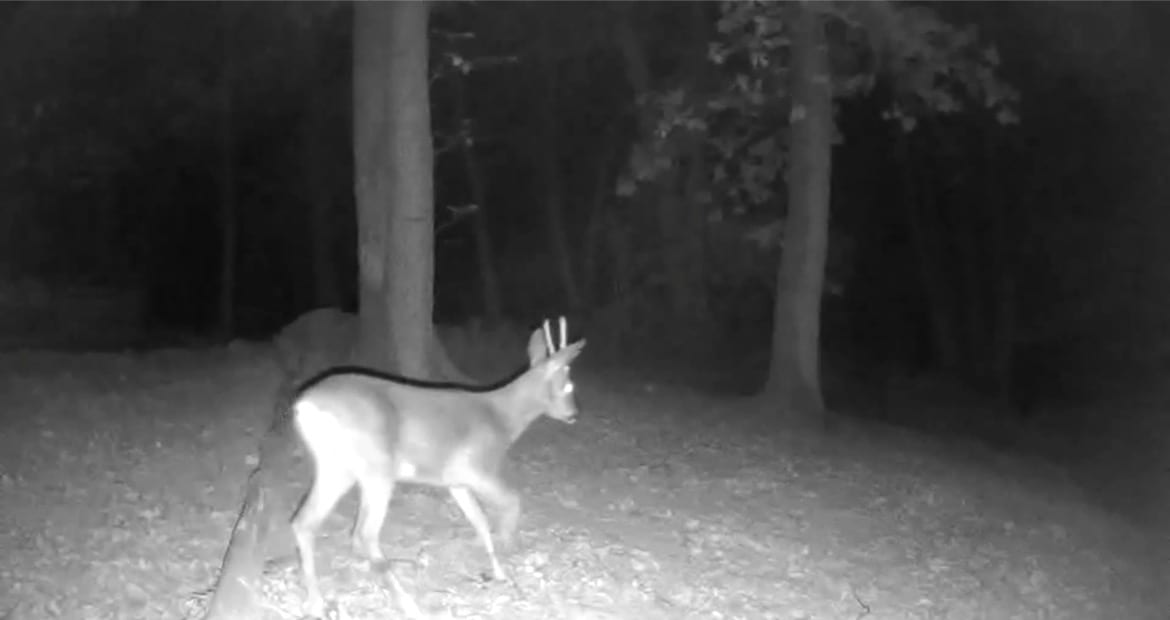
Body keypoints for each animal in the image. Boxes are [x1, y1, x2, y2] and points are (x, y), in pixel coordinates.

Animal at [289, 317, 585, 618]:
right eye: (569, 386)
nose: (573, 415)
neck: (502, 419)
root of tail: (305, 405)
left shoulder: (456, 482)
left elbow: (480, 522)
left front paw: (499, 572)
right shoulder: (477, 468)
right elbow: (512, 503)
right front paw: (509, 560)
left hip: (336, 468)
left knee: (304, 522)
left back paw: (317, 602)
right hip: (377, 468)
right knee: (364, 534)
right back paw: (407, 604)